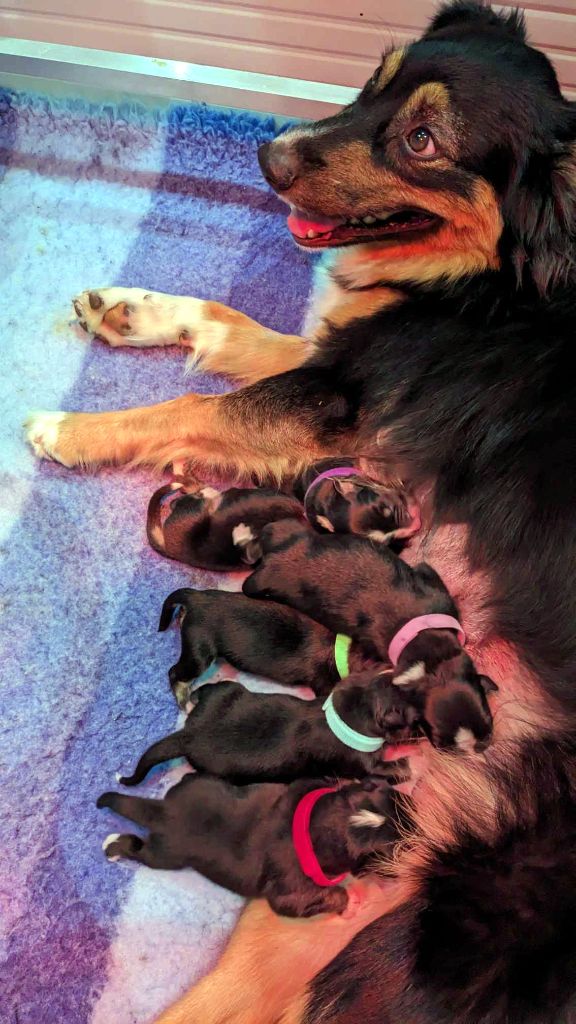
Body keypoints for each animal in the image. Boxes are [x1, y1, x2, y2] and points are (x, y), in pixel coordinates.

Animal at [97, 770, 403, 917]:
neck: (309, 826)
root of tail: (164, 810)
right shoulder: (289, 894)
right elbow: (326, 896)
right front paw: (349, 902)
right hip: (164, 854)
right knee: (139, 850)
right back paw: (113, 846)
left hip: (203, 784)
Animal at [116, 671, 414, 782]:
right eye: (412, 718)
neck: (343, 719)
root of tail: (189, 734)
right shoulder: (359, 762)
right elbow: (382, 768)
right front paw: (406, 766)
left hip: (226, 691)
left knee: (209, 689)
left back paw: (192, 697)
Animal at [158, 585, 379, 704]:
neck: (340, 650)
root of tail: (196, 597)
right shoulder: (323, 684)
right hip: (199, 651)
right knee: (175, 673)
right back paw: (184, 702)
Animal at [240, 520, 494, 753]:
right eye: (439, 740)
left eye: (489, 719)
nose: (479, 747)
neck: (426, 648)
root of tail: (281, 550)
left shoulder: (433, 584)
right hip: (263, 583)